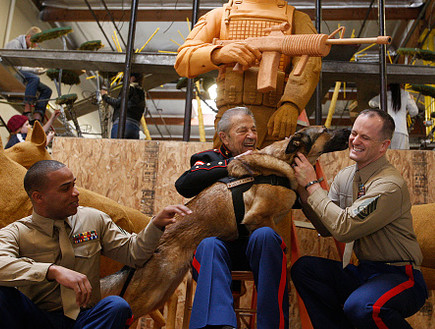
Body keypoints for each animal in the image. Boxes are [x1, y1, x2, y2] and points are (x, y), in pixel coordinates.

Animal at [101, 125, 350, 318]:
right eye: (325, 130)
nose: (350, 129)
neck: (284, 161)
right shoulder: (258, 217)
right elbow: (277, 239)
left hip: (161, 292)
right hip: (149, 292)